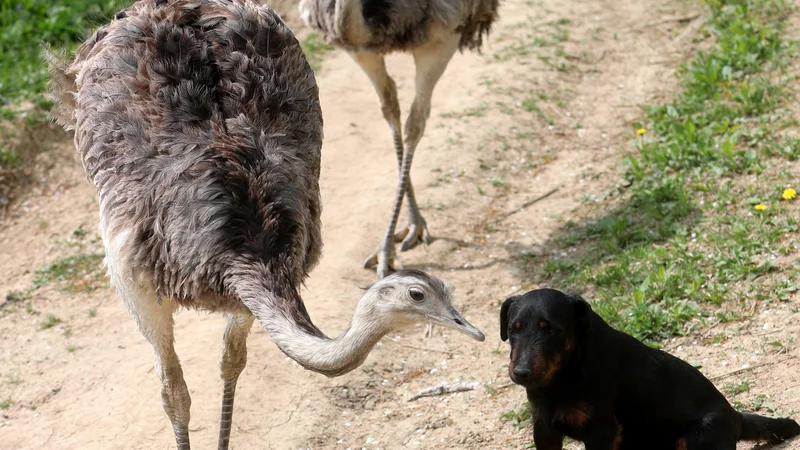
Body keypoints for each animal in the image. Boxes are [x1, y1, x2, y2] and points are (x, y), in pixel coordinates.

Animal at [500, 290, 800, 448]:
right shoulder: (544, 427)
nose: (521, 372)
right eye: (514, 330)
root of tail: (736, 417)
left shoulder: (602, 429)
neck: (563, 377)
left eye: (552, 330)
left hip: (699, 438)